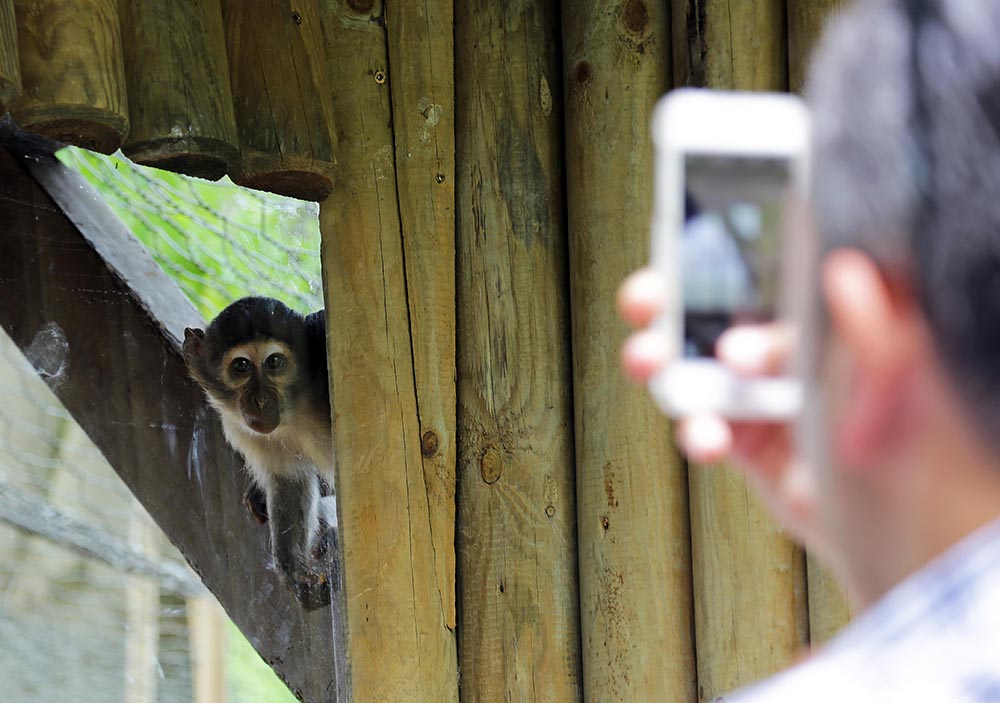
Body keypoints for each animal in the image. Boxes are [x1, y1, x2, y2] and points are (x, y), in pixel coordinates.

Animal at [182, 296, 337, 610]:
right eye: (241, 365)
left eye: (274, 362)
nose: (261, 400)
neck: (298, 409)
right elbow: (289, 483)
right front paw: (295, 573)